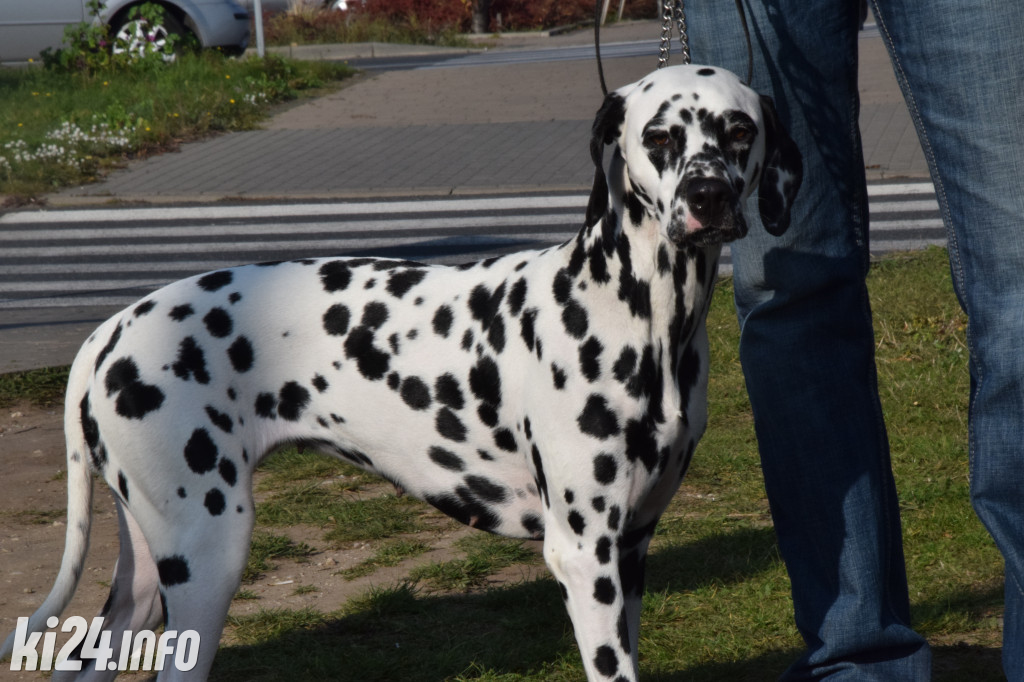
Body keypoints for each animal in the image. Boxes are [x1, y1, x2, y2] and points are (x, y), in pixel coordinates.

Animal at [2, 62, 798, 675]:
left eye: (739, 131)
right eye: (659, 137)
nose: (709, 197)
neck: (637, 312)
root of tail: (113, 327)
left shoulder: (630, 549)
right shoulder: (583, 556)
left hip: (149, 571)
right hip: (206, 559)